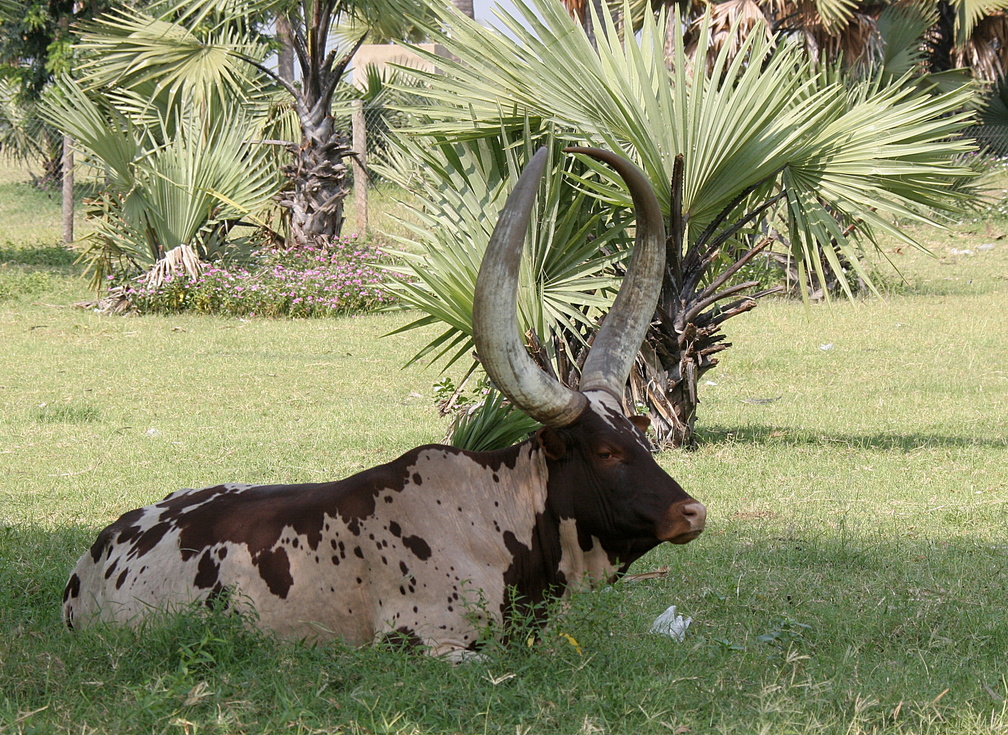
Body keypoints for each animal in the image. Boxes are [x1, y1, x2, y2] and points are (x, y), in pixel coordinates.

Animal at [63, 146, 705, 657]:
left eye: (641, 441)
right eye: (604, 453)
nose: (692, 511)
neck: (496, 513)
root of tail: (96, 551)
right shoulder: (426, 644)